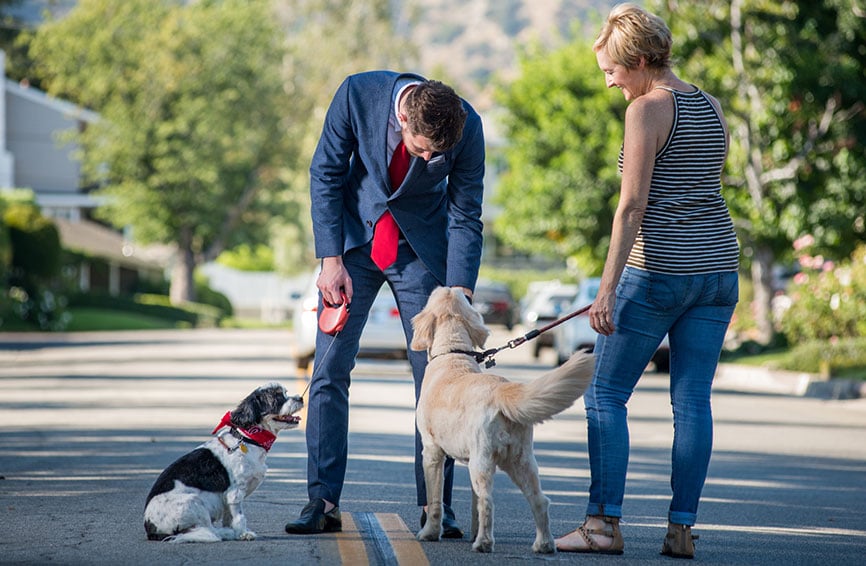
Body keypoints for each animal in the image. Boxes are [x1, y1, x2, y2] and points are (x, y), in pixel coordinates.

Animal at [143, 384, 302, 544]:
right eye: (278, 397)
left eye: (286, 392)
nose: (300, 398)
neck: (249, 438)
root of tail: (150, 528)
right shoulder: (235, 493)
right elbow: (239, 517)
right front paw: (243, 533)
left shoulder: (227, 499)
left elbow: (229, 518)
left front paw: (236, 532)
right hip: (193, 501)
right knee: (209, 531)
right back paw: (225, 533)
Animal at [412, 288, 592, 556]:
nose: (449, 286)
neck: (452, 353)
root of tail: (501, 391)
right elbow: (474, 505)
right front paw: (473, 531)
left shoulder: (433, 452)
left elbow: (436, 501)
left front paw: (430, 533)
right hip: (520, 460)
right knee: (540, 500)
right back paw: (544, 545)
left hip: (484, 460)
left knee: (488, 502)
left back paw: (484, 543)